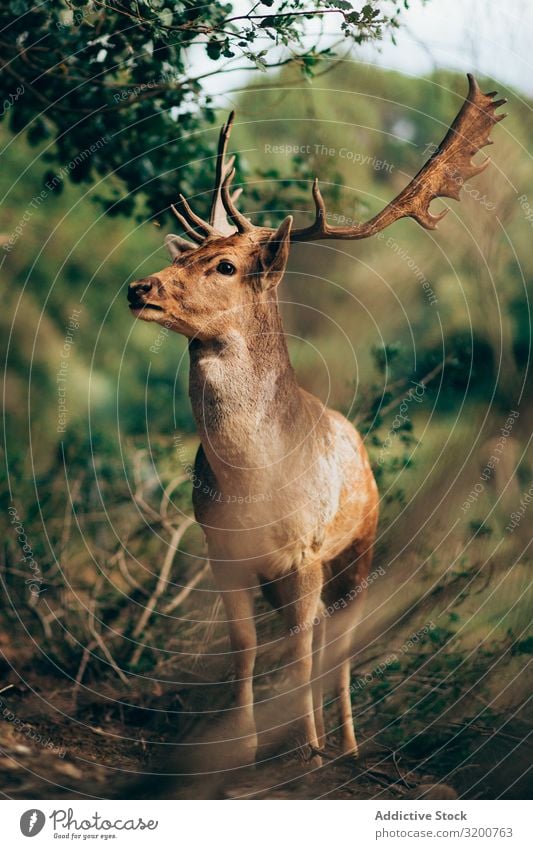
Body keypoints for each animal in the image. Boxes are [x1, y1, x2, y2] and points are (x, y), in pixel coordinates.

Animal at [127, 78, 504, 768]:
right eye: (193, 251)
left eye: (225, 266)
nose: (142, 288)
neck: (252, 482)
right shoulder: (222, 549)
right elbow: (246, 647)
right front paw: (243, 745)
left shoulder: (304, 547)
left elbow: (302, 652)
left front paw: (308, 748)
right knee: (314, 635)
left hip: (360, 544)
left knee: (339, 642)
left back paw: (346, 743)